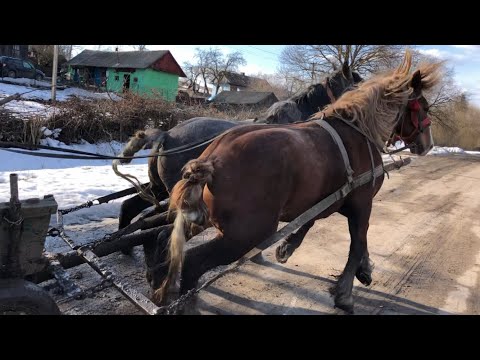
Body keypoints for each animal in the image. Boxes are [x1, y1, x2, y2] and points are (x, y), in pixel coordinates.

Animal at [158, 50, 442, 312]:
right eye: (424, 107)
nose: (428, 144)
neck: (358, 131)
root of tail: (212, 158)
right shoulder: (362, 204)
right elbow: (358, 242)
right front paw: (345, 293)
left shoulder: (324, 199)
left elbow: (316, 223)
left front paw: (290, 248)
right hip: (245, 234)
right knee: (192, 263)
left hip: (200, 219)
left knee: (164, 238)